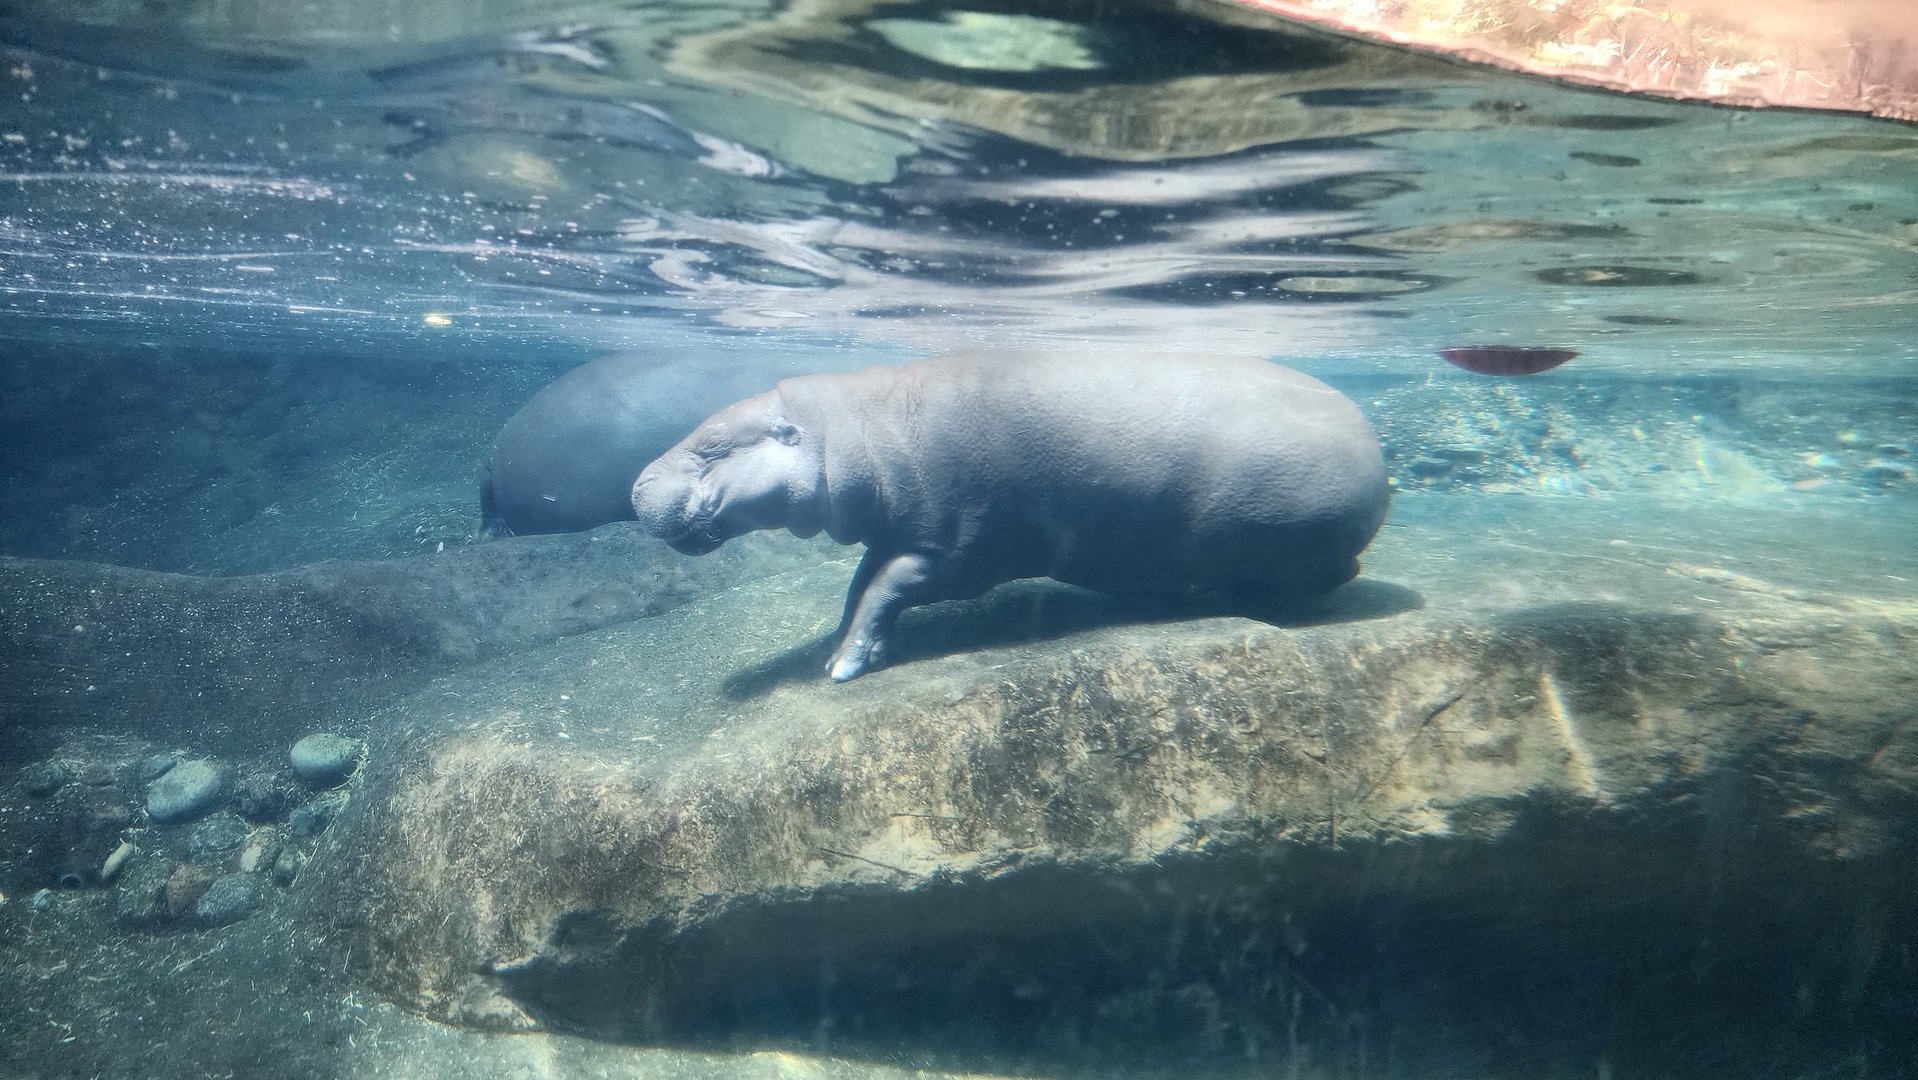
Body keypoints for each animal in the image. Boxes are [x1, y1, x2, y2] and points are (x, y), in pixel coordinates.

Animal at [631, 351, 1389, 681]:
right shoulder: (900, 532)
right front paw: (837, 645)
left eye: (712, 445)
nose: (636, 486)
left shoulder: (959, 549)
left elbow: (888, 587)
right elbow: (860, 585)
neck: (854, 436)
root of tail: (1376, 452)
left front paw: (843, 667)